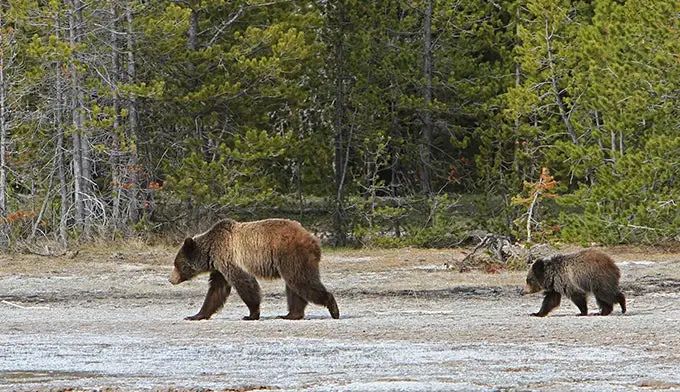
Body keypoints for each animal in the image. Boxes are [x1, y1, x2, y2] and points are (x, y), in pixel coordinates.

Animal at [170, 219, 340, 320]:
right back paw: (291, 314)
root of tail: (313, 239)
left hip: (291, 254)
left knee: (301, 281)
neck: (211, 252)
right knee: (294, 286)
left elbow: (245, 284)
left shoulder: (230, 258)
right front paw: (195, 315)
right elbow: (217, 290)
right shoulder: (220, 267)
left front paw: (252, 314)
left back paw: (333, 308)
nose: (170, 279)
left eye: (176, 264)